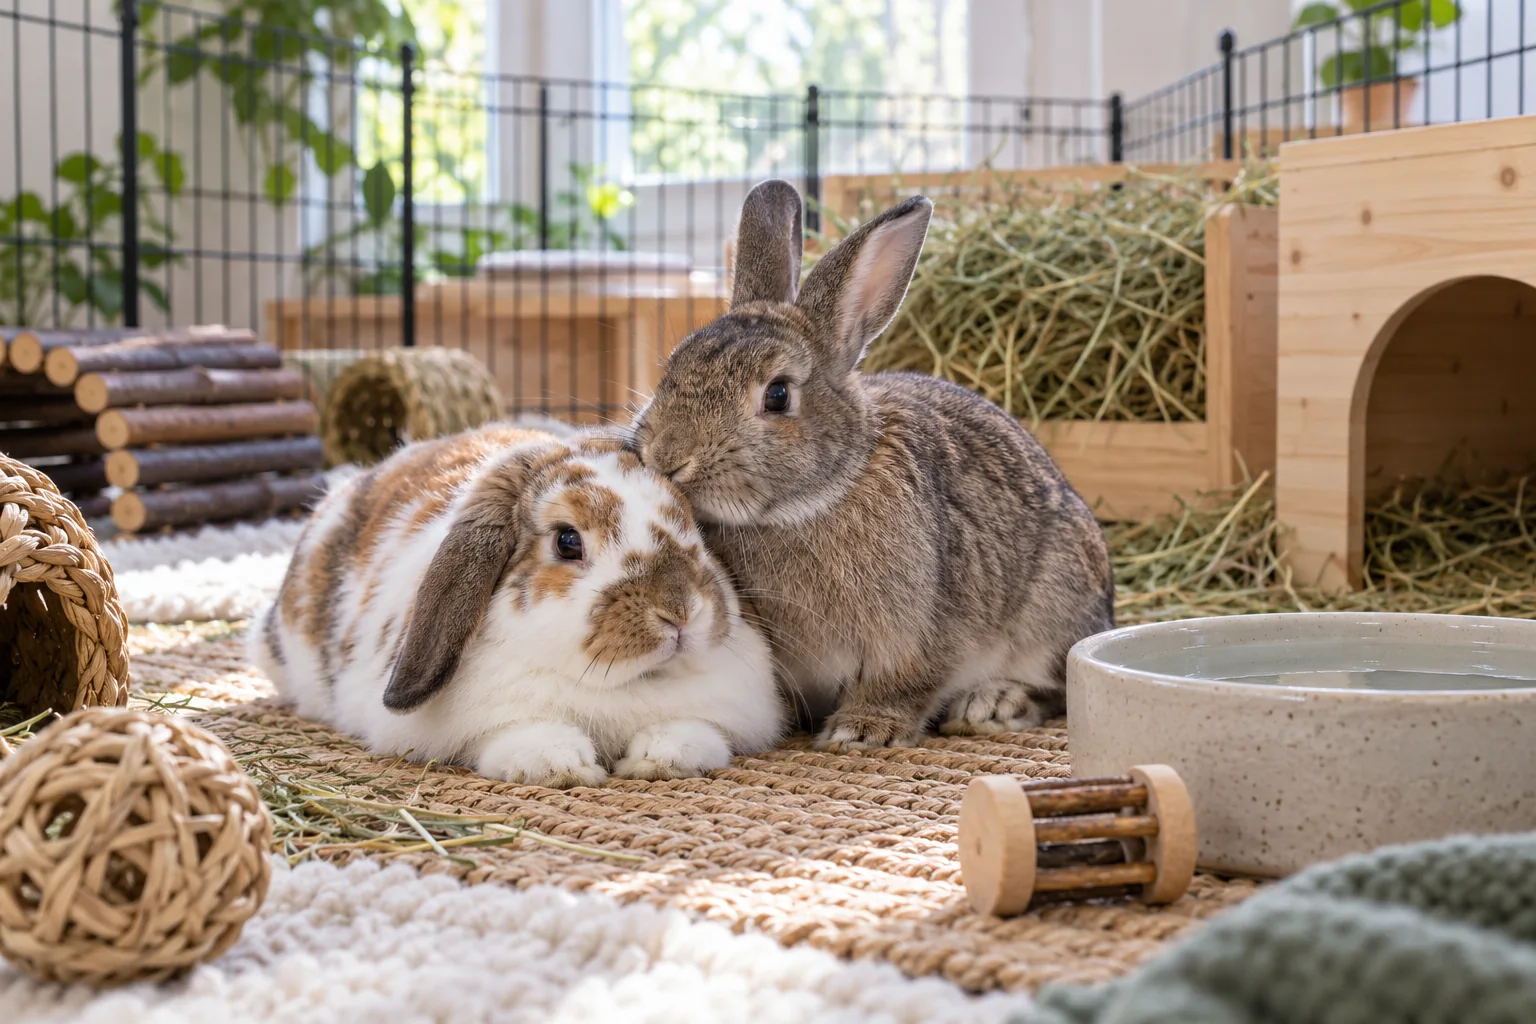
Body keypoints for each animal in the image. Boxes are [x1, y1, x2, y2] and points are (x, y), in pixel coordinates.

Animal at [248, 423, 785, 788]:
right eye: (567, 541)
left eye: (694, 525)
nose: (680, 612)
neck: (619, 686)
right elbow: (516, 735)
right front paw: (561, 764)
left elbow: (694, 733)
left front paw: (658, 759)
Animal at [629, 179, 1114, 751]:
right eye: (673, 365)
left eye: (777, 395)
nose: (667, 458)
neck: (821, 497)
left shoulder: (921, 635)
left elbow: (904, 683)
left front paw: (861, 731)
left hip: (1049, 613)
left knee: (1057, 687)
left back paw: (991, 705)